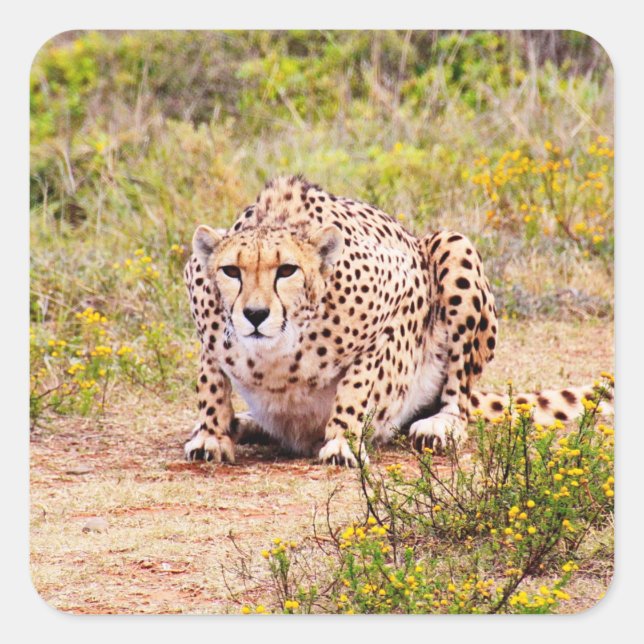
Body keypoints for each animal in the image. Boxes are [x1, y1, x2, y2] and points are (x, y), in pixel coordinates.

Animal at [182, 175, 613, 466]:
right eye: (232, 271)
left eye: (287, 270)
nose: (255, 314)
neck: (278, 348)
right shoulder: (205, 316)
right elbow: (211, 380)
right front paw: (212, 435)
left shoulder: (402, 301)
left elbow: (358, 383)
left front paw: (341, 440)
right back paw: (241, 424)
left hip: (453, 246)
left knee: (459, 398)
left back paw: (440, 425)